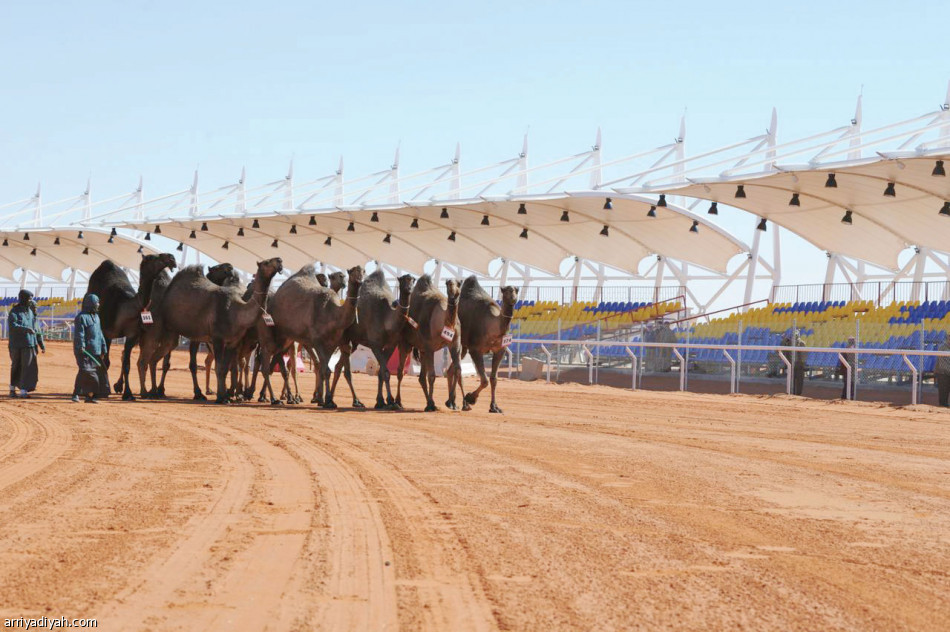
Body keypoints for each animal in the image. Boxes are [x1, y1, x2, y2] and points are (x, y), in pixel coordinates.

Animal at [87, 253, 177, 398]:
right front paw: (103, 391)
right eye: (151, 257)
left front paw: (128, 393)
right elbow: (106, 362)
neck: (126, 308)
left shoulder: (132, 335)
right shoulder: (107, 332)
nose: (172, 258)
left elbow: (126, 364)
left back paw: (119, 386)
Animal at [272, 262, 368, 408]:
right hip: (284, 335)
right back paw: (290, 397)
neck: (333, 313)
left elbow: (330, 370)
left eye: (363, 271)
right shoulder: (317, 342)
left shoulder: (334, 344)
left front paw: (328, 399)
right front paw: (326, 400)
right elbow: (325, 369)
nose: (360, 280)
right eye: (352, 272)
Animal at [400, 276, 462, 412]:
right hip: (407, 344)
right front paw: (432, 405)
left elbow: (458, 370)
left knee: (421, 377)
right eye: (447, 283)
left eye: (459, 283)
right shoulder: (430, 346)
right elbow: (432, 375)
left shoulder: (455, 344)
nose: (452, 287)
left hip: (422, 350)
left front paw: (452, 403)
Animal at [458, 276, 516, 414]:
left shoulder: (500, 350)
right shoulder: (475, 350)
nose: (513, 297)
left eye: (516, 289)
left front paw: (494, 407)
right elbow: (484, 380)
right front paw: (470, 398)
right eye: (506, 290)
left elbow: (493, 379)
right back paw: (464, 404)